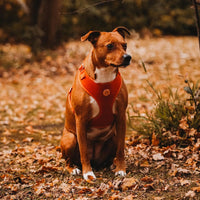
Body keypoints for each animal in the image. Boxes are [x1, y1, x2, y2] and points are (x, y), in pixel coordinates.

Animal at [60, 25, 131, 180]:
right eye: (109, 46)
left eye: (125, 45)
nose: (128, 57)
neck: (105, 75)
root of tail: (96, 161)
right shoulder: (81, 120)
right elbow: (83, 151)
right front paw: (87, 173)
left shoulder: (121, 117)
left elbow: (121, 149)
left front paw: (121, 169)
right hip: (70, 138)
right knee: (68, 160)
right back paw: (73, 169)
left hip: (114, 136)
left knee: (111, 154)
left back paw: (111, 165)